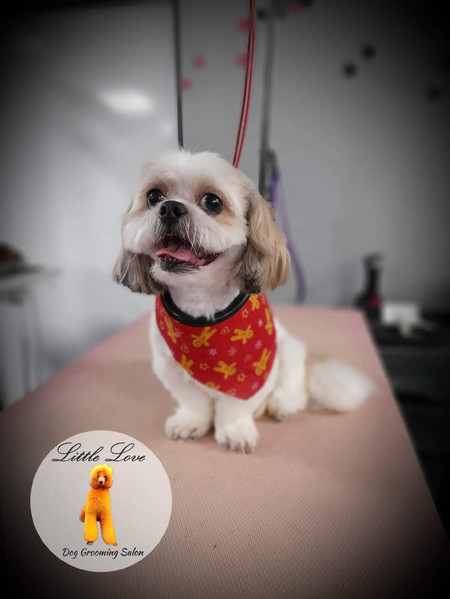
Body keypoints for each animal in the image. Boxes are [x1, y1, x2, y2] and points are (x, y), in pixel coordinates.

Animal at [114, 149, 374, 453]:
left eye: (213, 202)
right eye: (154, 196)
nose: (170, 208)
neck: (201, 304)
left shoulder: (253, 373)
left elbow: (235, 407)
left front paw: (235, 431)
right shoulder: (170, 367)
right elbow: (193, 402)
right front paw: (191, 422)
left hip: (288, 350)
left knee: (294, 387)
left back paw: (283, 405)